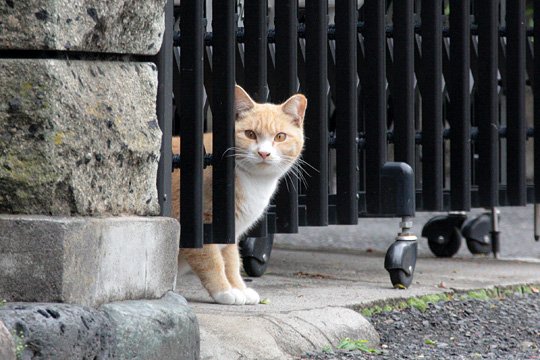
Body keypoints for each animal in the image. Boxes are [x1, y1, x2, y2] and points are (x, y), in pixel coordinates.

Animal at [174, 86, 308, 306]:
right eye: (250, 134)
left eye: (280, 137)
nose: (264, 153)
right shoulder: (199, 223)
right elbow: (211, 260)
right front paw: (224, 290)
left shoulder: (229, 229)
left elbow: (231, 260)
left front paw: (238, 288)